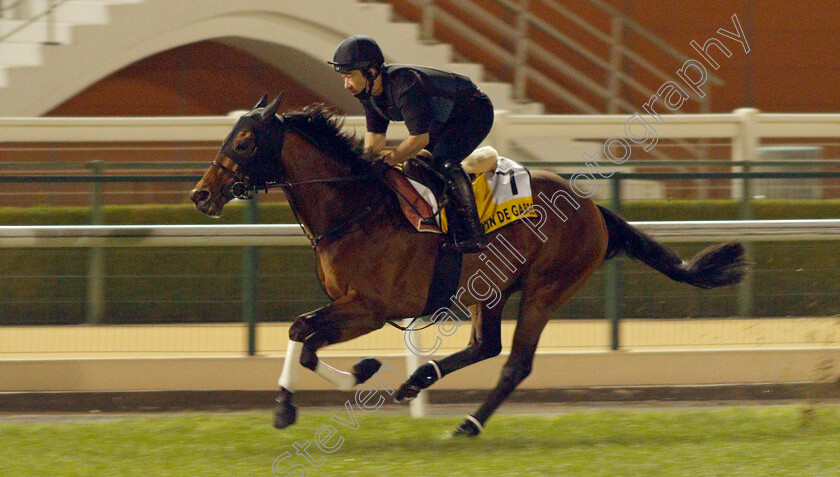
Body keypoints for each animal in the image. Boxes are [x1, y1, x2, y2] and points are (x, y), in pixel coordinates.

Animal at [190, 94, 748, 436]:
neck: (355, 208)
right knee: (486, 345)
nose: (201, 195)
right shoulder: (349, 304)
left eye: (244, 142)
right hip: (490, 288)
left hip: (545, 288)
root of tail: (593, 208)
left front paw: (295, 403)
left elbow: (301, 331)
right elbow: (302, 334)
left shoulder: (371, 307)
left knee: (515, 362)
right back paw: (419, 379)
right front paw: (344, 379)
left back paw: (468, 424)